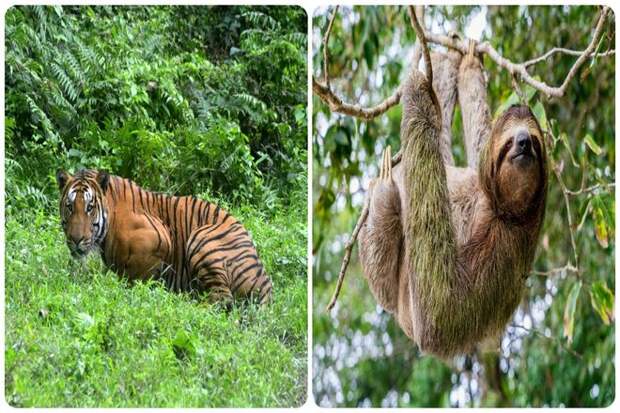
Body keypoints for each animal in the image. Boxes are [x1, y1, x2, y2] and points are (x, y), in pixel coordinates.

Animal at [56, 167, 274, 302]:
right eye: (69, 206)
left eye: (90, 207)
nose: (76, 240)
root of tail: (265, 284)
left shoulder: (158, 239)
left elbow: (136, 277)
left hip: (202, 238)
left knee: (222, 298)